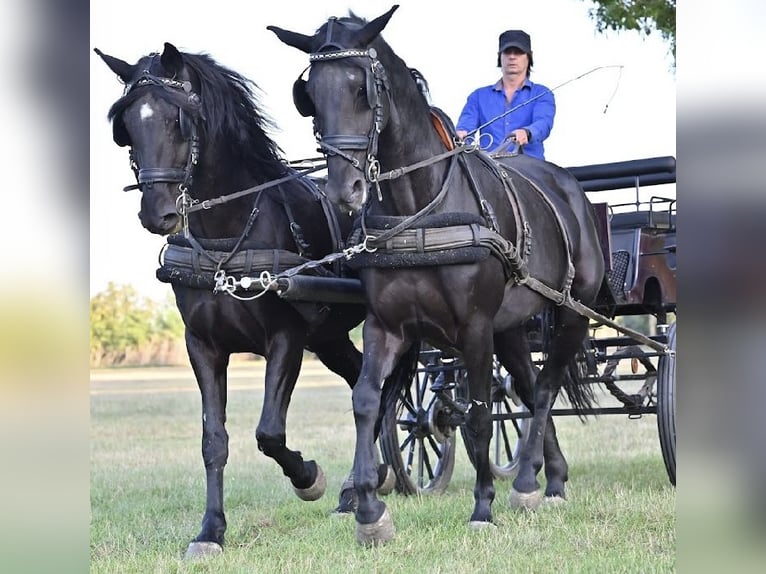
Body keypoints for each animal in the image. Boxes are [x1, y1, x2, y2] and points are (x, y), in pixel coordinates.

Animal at [94, 42, 399, 558]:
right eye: (127, 126)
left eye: (179, 120)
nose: (157, 214)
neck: (229, 232)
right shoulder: (202, 345)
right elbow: (213, 440)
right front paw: (210, 531)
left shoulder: (286, 338)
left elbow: (269, 432)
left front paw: (308, 478)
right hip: (330, 337)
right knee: (364, 381)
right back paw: (359, 485)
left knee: (387, 386)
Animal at [269, 5, 605, 546]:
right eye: (309, 95)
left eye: (362, 88)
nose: (346, 191)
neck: (419, 208)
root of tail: (569, 187)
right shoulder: (386, 326)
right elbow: (367, 401)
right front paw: (369, 510)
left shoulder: (474, 328)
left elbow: (482, 415)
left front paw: (483, 506)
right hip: (511, 327)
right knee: (530, 385)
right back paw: (546, 479)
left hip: (571, 313)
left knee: (546, 388)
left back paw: (526, 482)